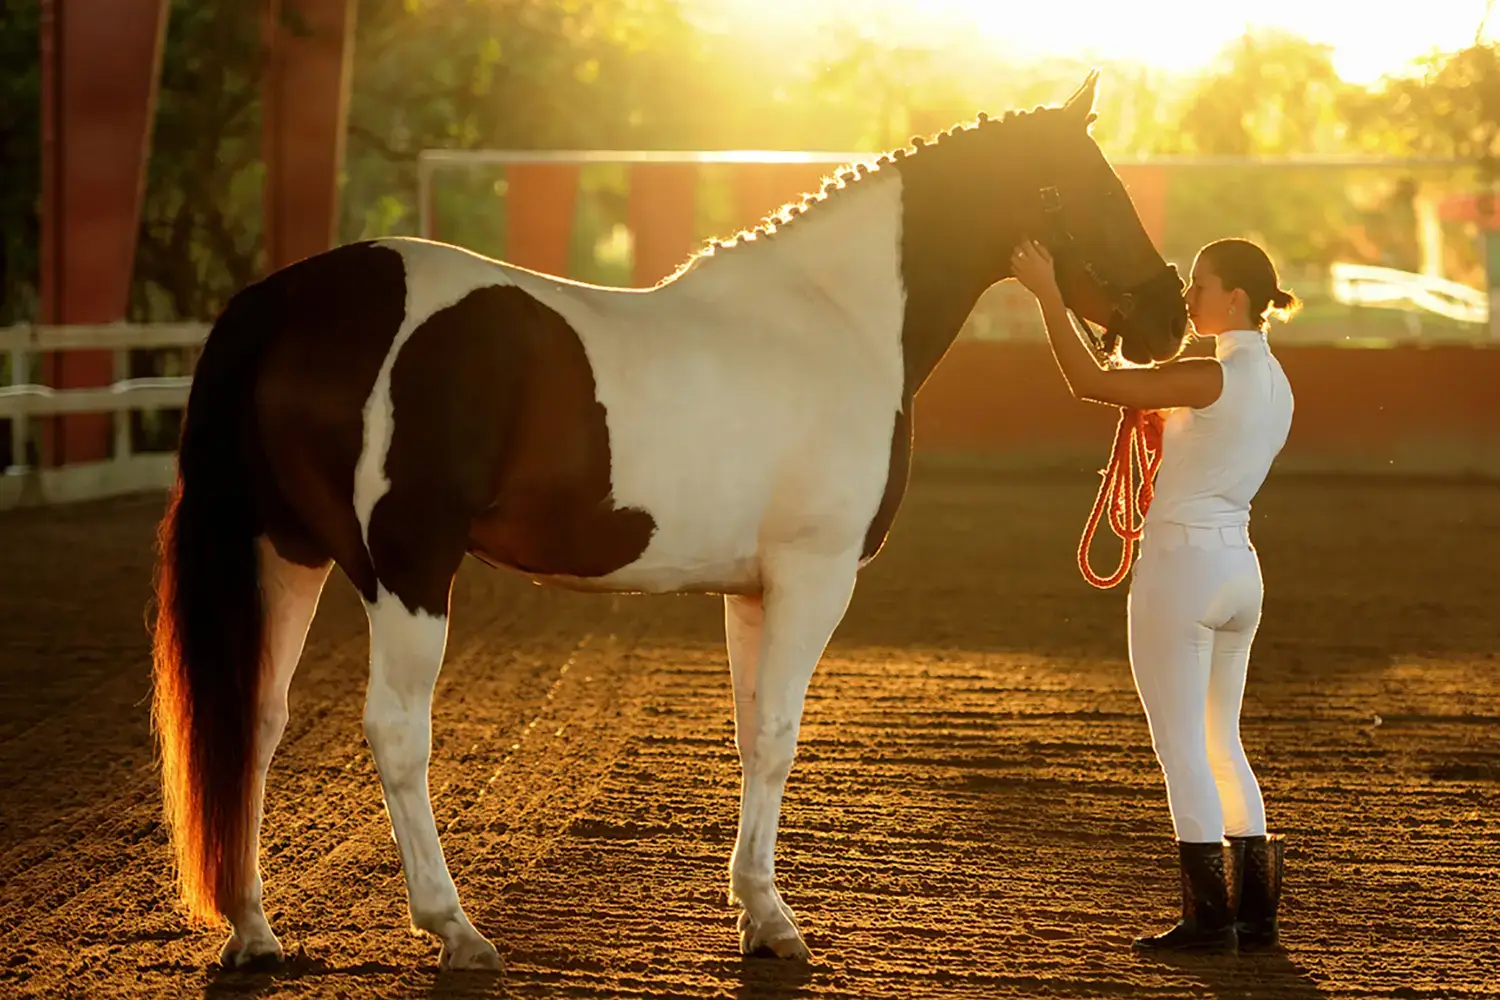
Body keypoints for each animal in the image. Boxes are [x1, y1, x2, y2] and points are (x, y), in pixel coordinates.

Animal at [149, 68, 1182, 971]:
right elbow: (780, 735)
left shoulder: (753, 590)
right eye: (1089, 188)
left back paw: (254, 932)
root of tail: (287, 298)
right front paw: (776, 923)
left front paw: (755, 913)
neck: (834, 321)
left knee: (253, 720)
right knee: (395, 731)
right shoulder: (814, 576)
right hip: (406, 573)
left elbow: (752, 731)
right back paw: (456, 930)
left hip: (286, 556)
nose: (1168, 315)